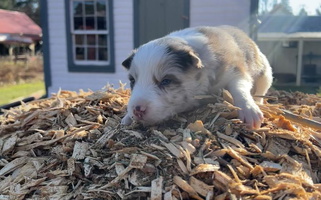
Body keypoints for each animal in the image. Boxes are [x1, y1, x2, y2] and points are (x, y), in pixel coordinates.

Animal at [121, 25, 272, 129]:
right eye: (132, 80)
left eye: (166, 81)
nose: (137, 109)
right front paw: (127, 117)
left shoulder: (236, 71)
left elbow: (239, 88)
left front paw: (249, 111)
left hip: (265, 75)